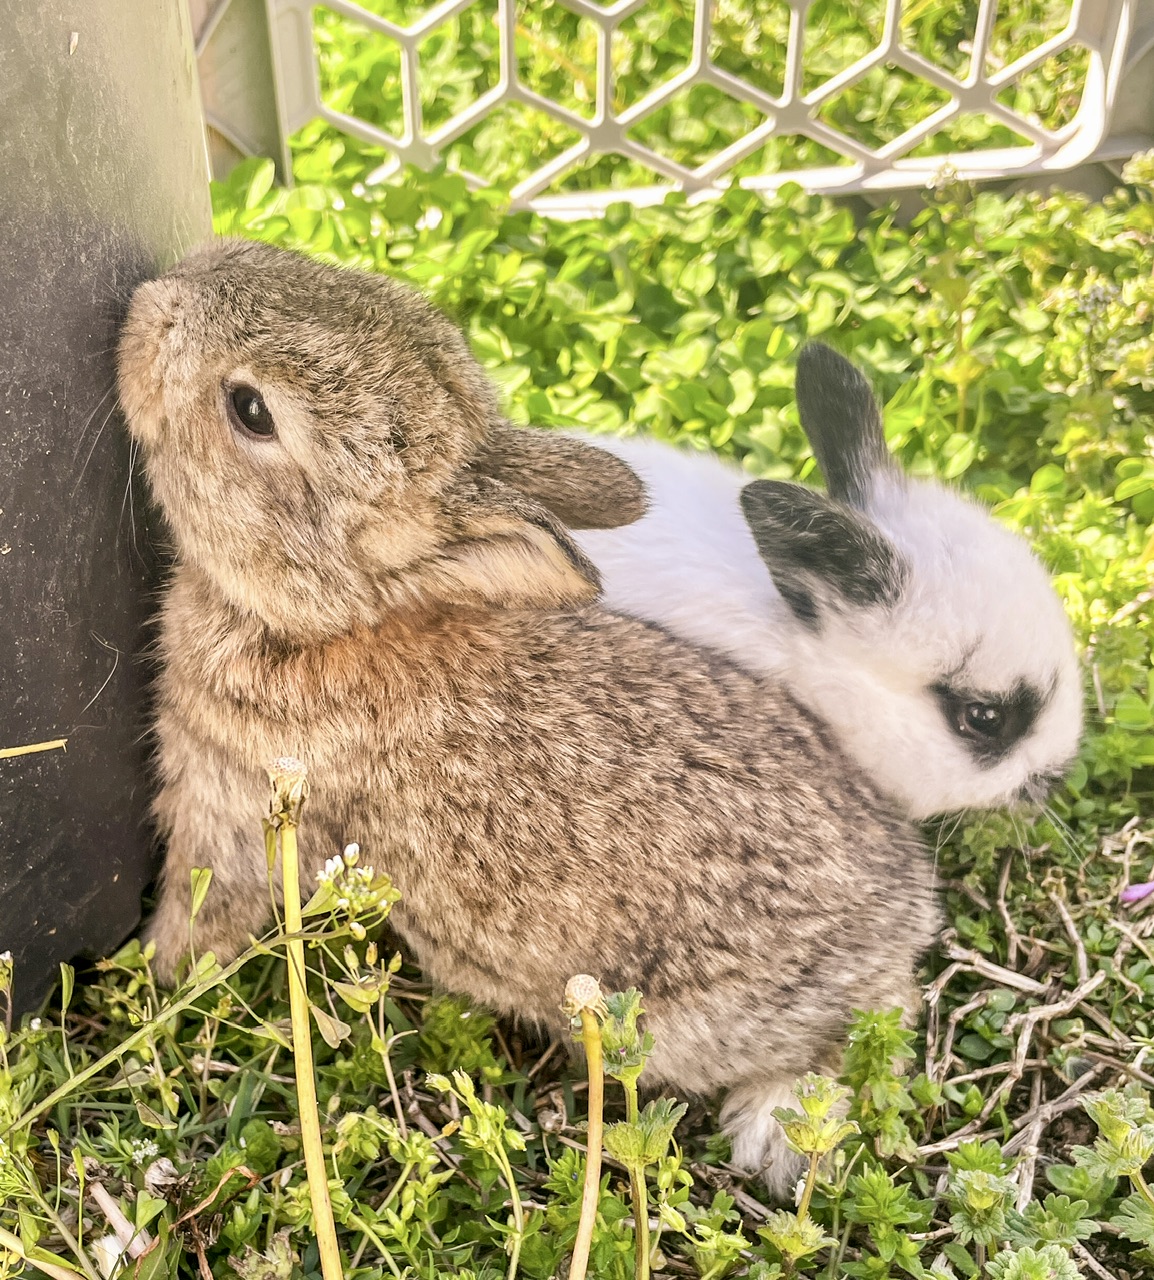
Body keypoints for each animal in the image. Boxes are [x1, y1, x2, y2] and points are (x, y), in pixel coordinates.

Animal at [117, 239, 940, 1195]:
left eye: (249, 410)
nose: (155, 298)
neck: (333, 621)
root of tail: (909, 918)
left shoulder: (241, 811)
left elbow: (203, 913)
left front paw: (143, 981)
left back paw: (774, 1127)